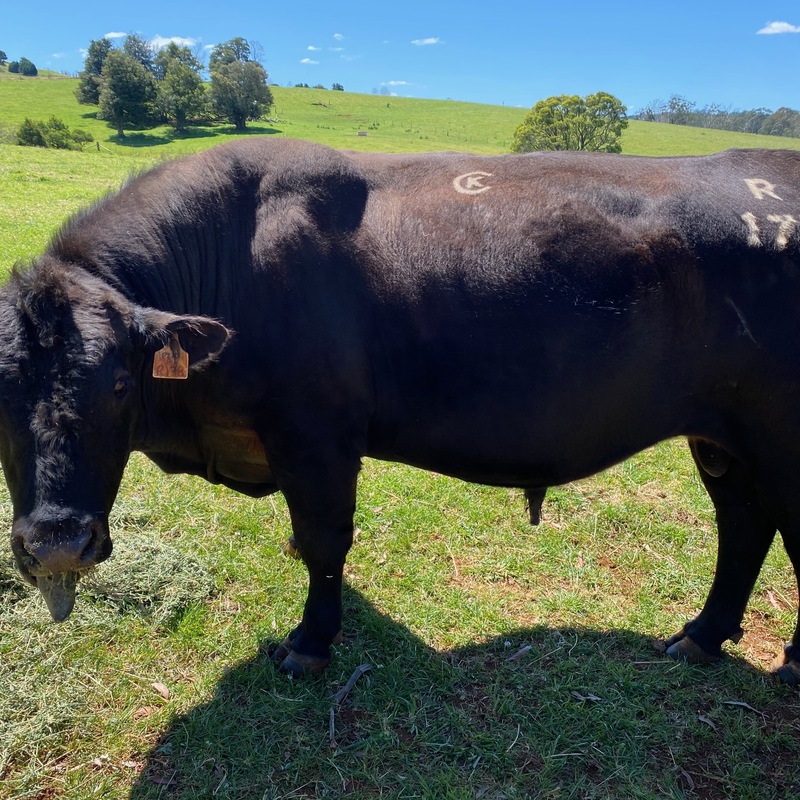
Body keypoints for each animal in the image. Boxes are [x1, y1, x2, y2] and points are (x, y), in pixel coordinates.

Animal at [1, 138, 799, 684]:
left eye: (118, 385)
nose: (57, 546)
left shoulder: (316, 437)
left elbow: (323, 542)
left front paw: (310, 644)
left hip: (779, 439)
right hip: (723, 437)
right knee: (744, 526)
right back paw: (701, 635)